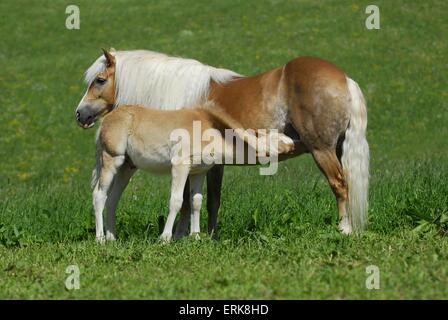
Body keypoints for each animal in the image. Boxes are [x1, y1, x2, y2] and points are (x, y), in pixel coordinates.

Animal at [92, 102, 294, 242]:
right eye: (279, 140)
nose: (294, 143)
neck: (209, 132)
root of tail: (106, 120)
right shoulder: (180, 166)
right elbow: (176, 201)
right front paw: (165, 238)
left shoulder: (198, 172)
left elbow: (196, 202)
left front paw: (195, 236)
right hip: (112, 159)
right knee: (99, 195)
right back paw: (100, 238)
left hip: (127, 168)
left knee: (112, 200)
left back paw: (112, 237)